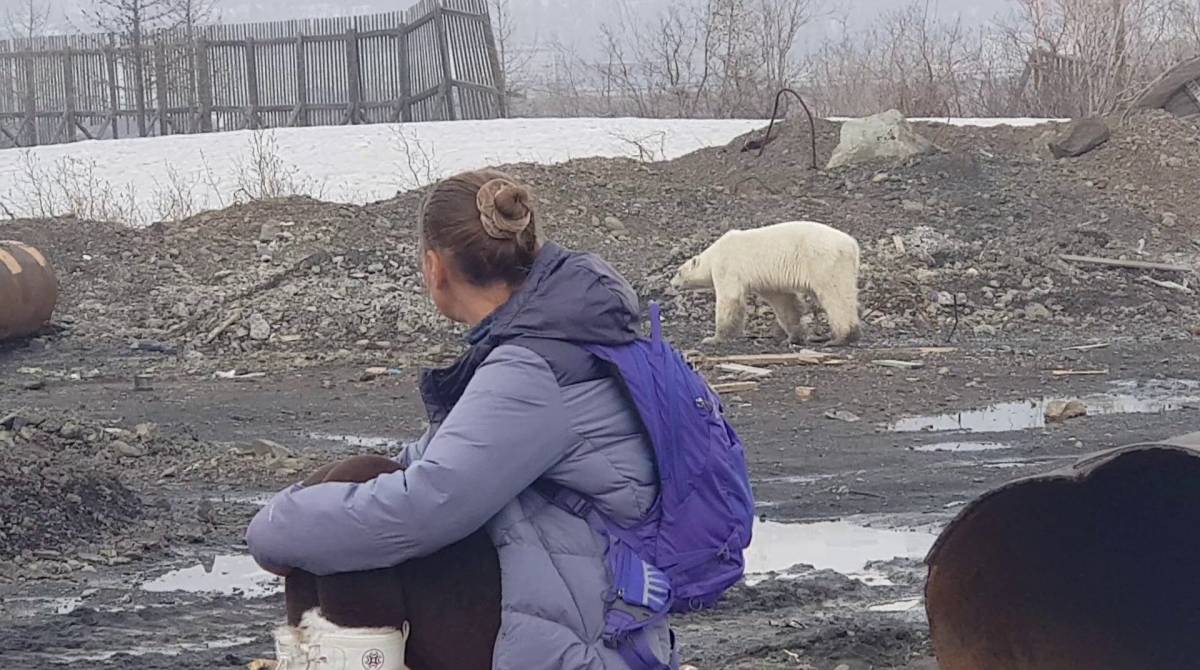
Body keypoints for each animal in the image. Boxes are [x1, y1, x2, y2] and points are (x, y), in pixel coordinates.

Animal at [670, 220, 861, 347]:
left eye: (678, 272)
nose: (672, 283)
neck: (713, 254)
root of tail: (852, 244)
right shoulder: (768, 280)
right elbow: (783, 301)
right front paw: (793, 336)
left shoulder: (727, 266)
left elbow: (729, 299)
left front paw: (713, 338)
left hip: (824, 262)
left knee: (835, 295)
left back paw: (841, 337)